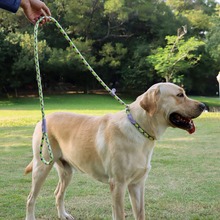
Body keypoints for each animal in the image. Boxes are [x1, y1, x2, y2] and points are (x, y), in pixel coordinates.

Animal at [24, 82, 205, 220]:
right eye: (180, 95)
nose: (203, 106)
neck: (140, 129)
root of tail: (42, 119)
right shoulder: (118, 184)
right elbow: (120, 215)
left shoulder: (137, 184)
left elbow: (140, 213)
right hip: (41, 167)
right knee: (30, 198)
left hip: (67, 171)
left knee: (58, 194)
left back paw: (63, 215)